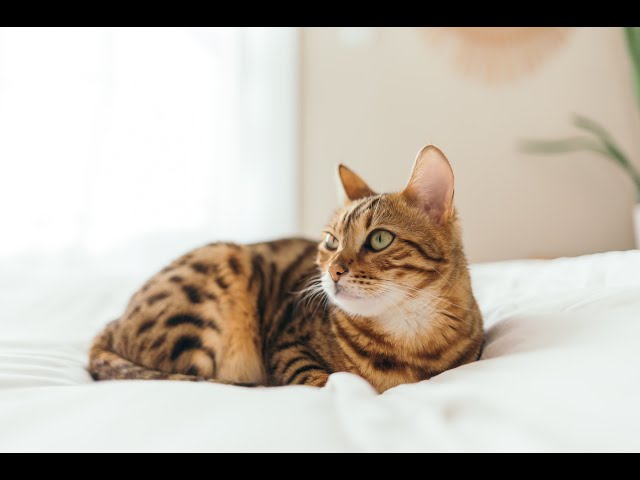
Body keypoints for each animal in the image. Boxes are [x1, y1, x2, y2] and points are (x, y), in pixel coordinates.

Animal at [87, 144, 482, 392]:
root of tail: (111, 323)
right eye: (331, 242)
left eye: (380, 239)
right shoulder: (287, 346)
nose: (333, 270)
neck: (408, 338)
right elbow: (324, 379)